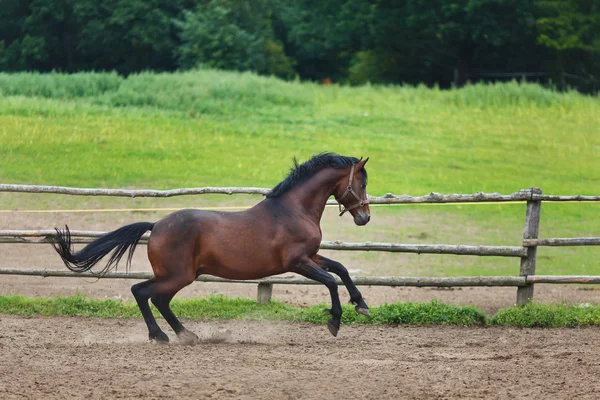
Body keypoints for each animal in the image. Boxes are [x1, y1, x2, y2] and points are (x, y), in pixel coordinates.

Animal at [51, 153, 370, 344]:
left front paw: (361, 304)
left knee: (159, 300)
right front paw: (335, 321)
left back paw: (186, 334)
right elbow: (330, 280)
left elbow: (341, 269)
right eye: (362, 182)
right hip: (177, 275)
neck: (294, 210)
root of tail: (157, 225)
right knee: (141, 292)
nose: (364, 217)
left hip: (181, 276)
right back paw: (160, 336)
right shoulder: (297, 262)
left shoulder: (311, 256)